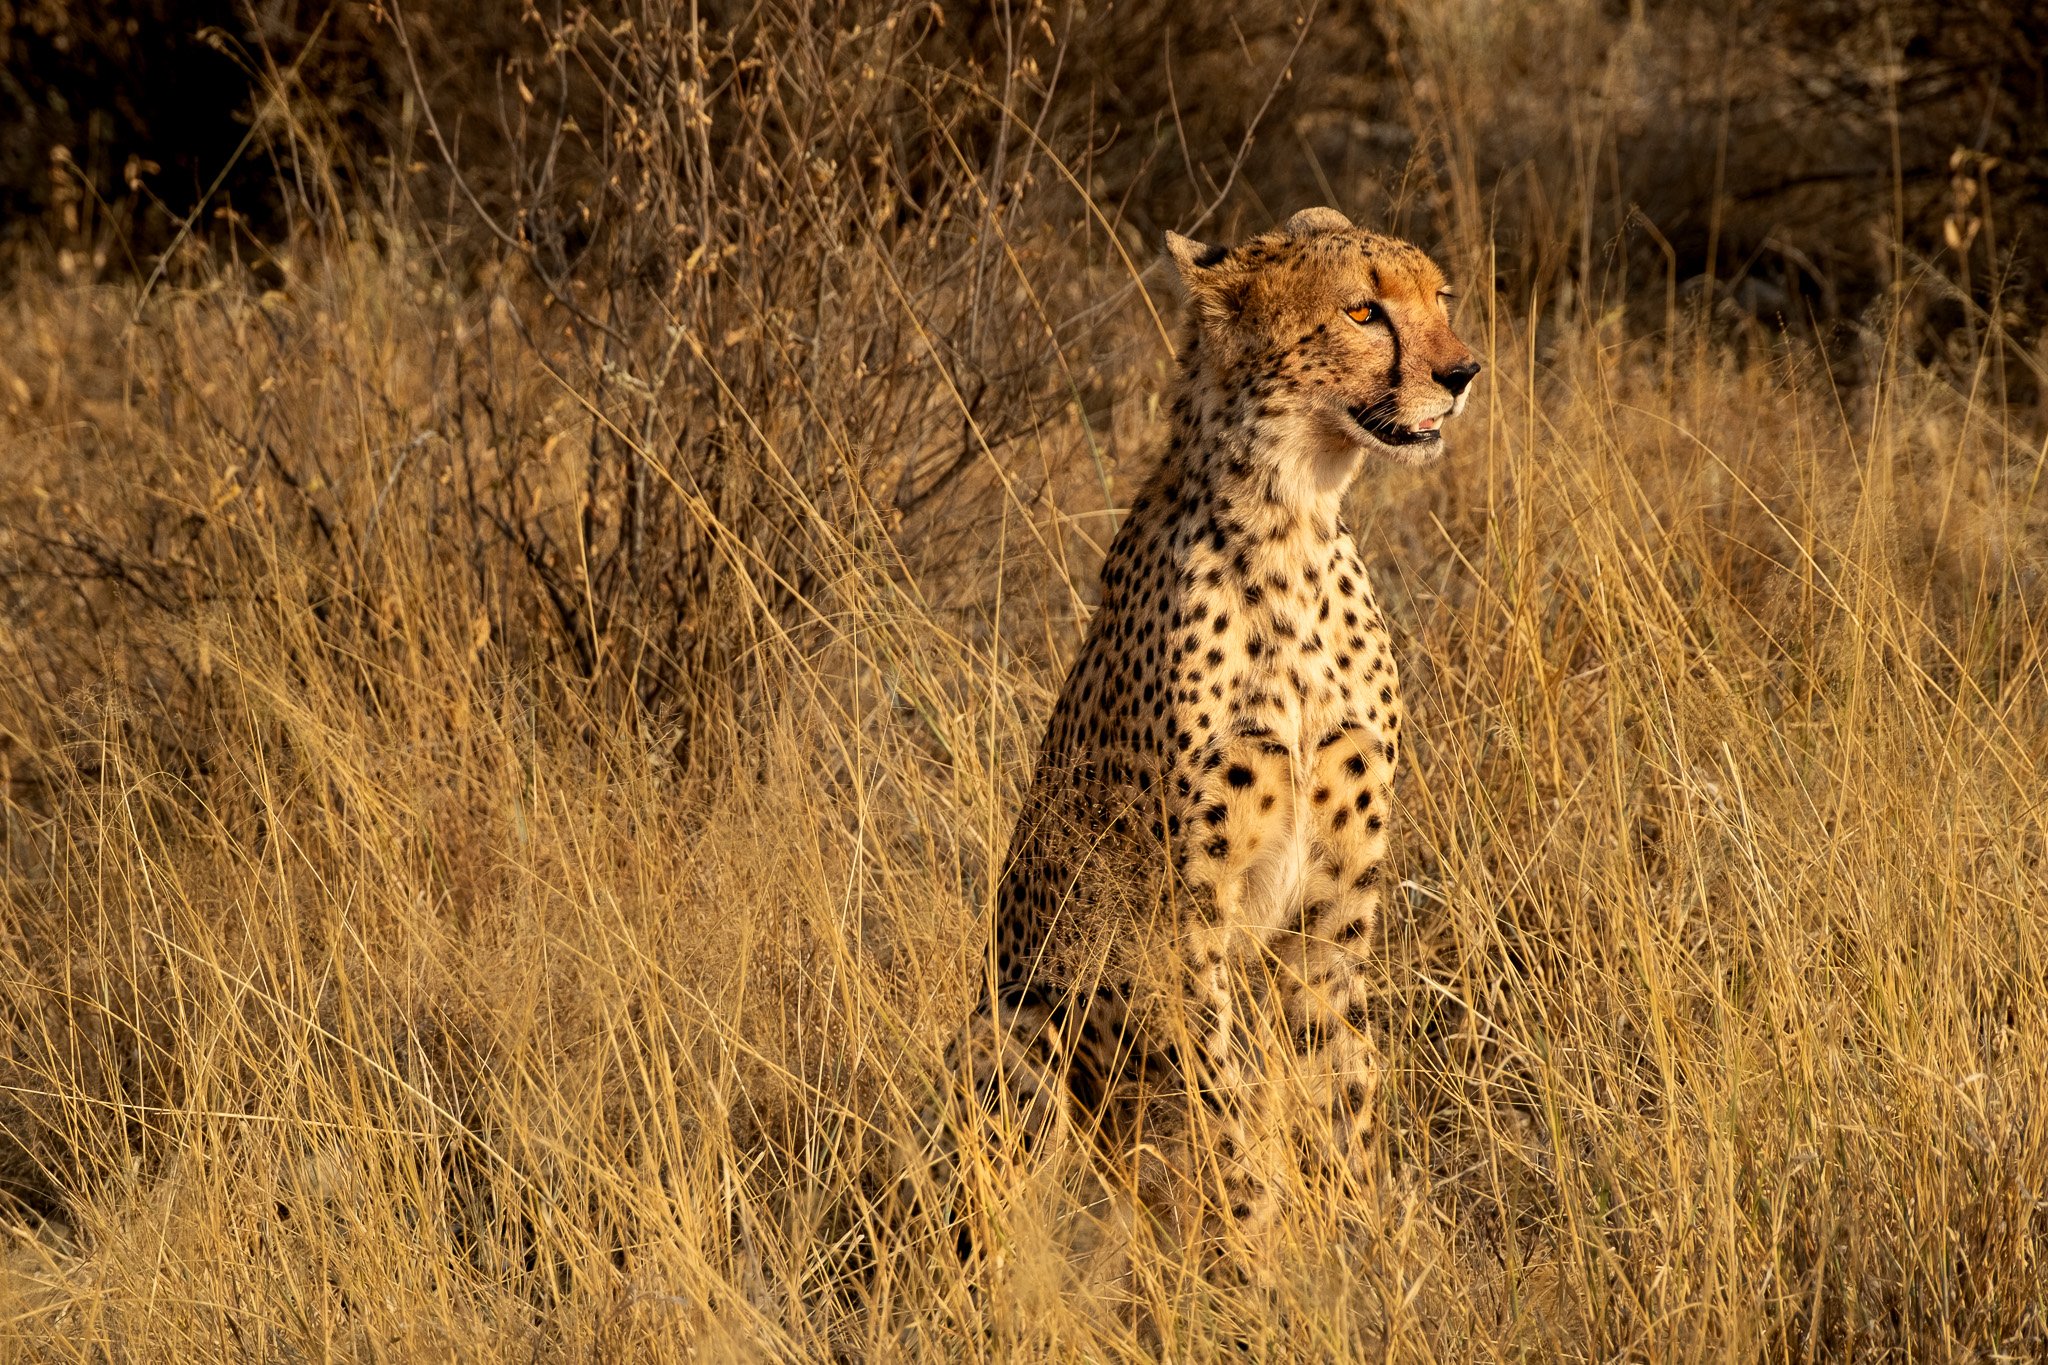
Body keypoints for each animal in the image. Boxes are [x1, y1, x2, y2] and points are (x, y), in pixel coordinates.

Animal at [952, 206, 1481, 1251]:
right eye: (1363, 310)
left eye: (1439, 296)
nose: (1461, 372)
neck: (1295, 521)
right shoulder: (1179, 920)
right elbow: (1220, 1104)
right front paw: (1256, 1254)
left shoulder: (1332, 909)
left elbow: (1340, 1080)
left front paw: (1361, 1246)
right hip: (1015, 1018)